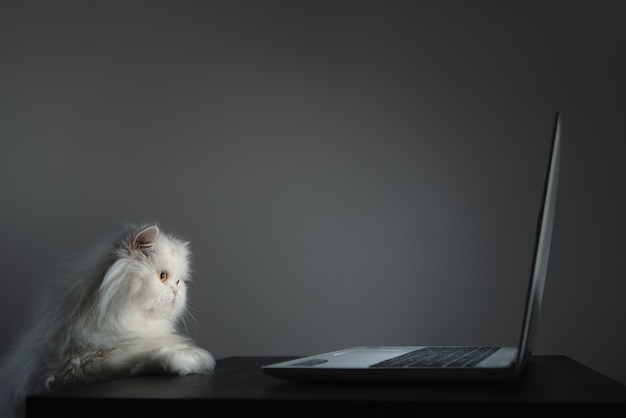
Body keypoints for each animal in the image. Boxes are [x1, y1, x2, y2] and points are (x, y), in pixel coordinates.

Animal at [0, 224, 214, 416]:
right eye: (162, 276)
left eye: (179, 281)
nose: (176, 291)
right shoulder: (75, 369)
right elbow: (144, 356)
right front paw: (192, 359)